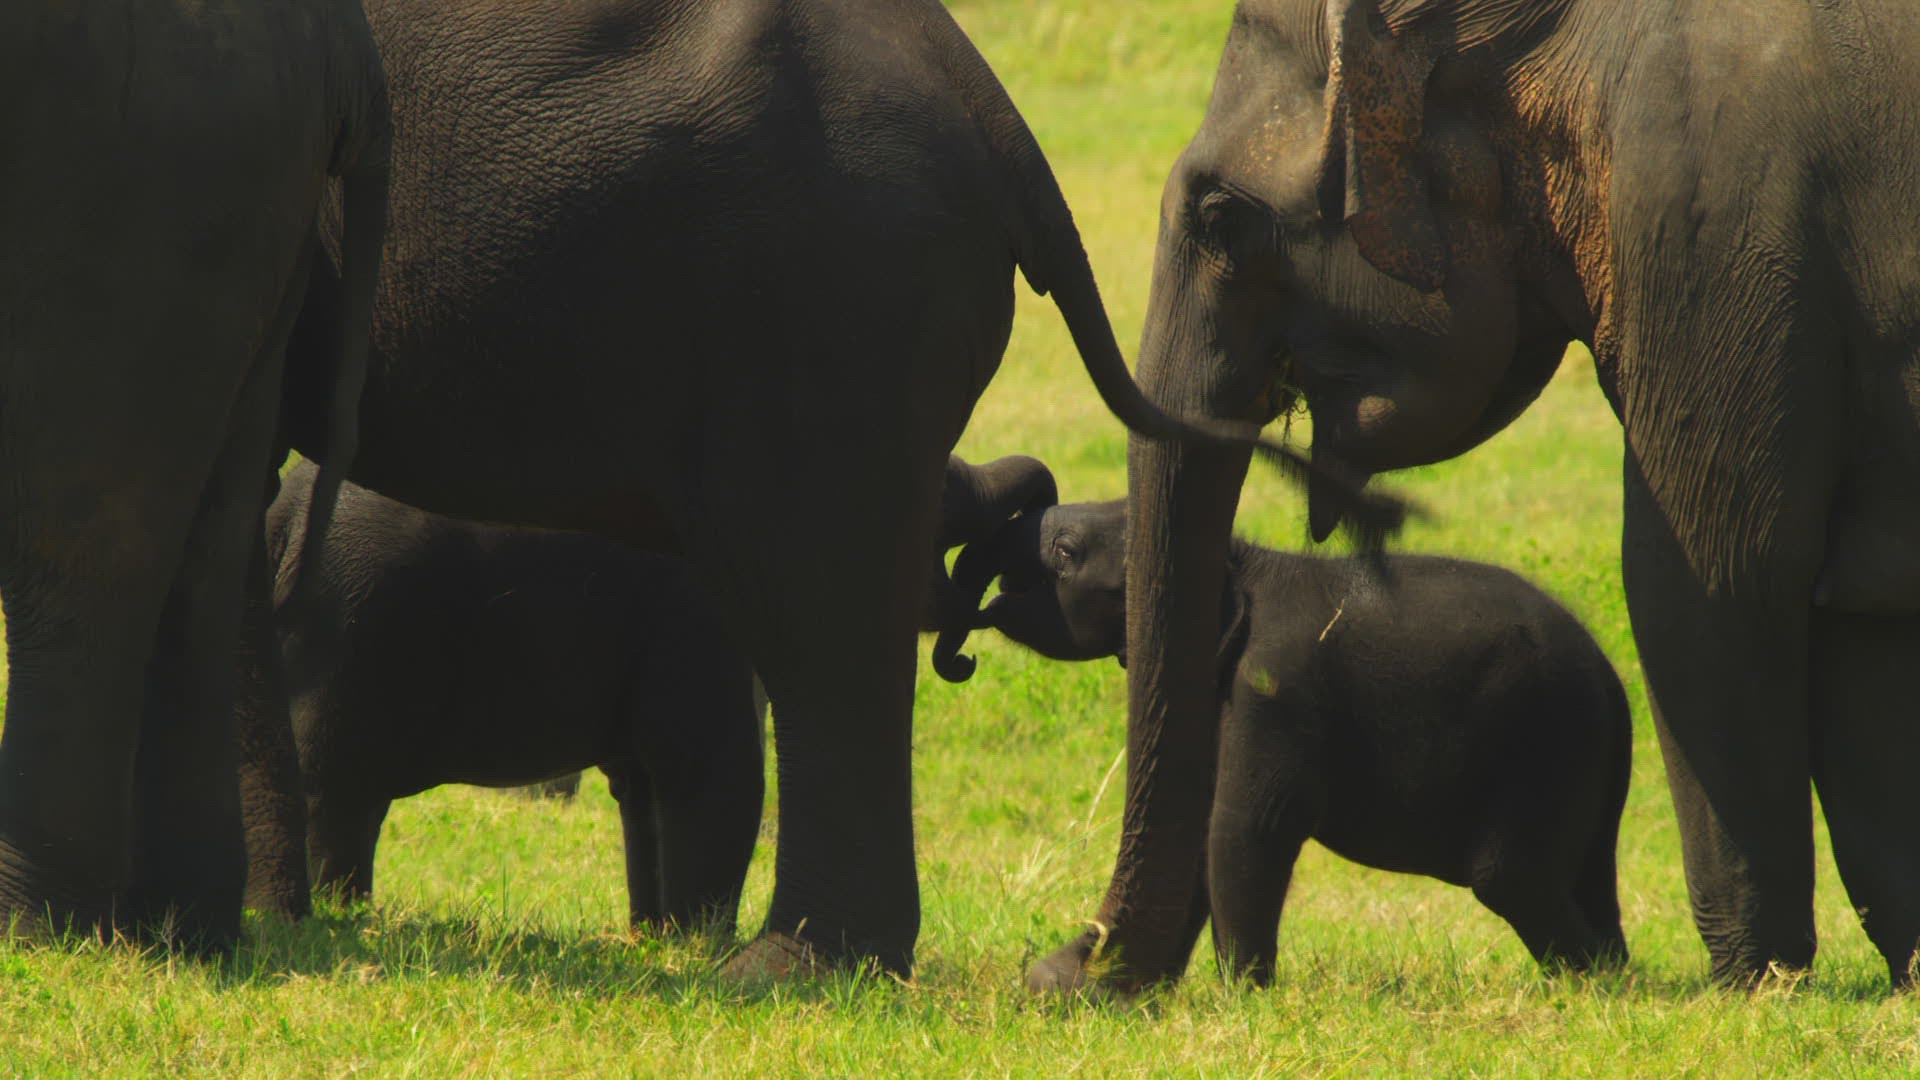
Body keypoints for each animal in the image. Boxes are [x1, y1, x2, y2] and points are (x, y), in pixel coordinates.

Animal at [0, 2, 387, 949]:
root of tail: (346, 43)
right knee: (206, 553)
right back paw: (186, 929)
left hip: (130, 181)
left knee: (82, 553)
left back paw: (41, 927)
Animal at [943, 499, 1631, 982]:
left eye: (1066, 552)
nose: (962, 656)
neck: (1240, 560)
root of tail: (1611, 676)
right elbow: (1203, 823)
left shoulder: (1276, 686)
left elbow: (1248, 823)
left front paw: (1243, 997)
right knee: (1587, 875)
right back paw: (1616, 977)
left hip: (1546, 742)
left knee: (1511, 880)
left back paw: (1590, 987)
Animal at [1027, 0, 1920, 991]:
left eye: (1222, 217)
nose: (1049, 972)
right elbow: (1862, 628)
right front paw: (1899, 978)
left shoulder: (1708, 233)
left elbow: (1712, 578)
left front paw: (1754, 991)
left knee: (1516, 873)